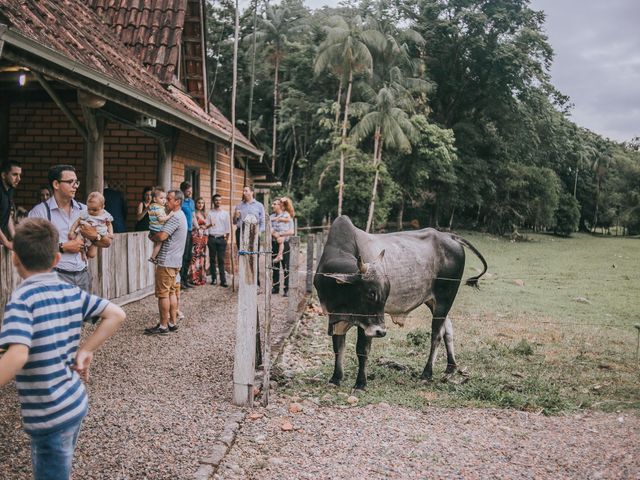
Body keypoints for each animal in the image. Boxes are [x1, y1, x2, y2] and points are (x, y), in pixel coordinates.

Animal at [312, 217, 488, 390]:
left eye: (385, 295)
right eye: (371, 293)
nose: (381, 332)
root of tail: (450, 236)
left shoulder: (366, 324)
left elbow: (361, 350)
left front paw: (361, 383)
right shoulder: (335, 317)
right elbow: (338, 347)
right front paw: (335, 378)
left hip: (444, 298)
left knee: (437, 334)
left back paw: (427, 373)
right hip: (433, 301)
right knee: (448, 328)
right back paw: (451, 367)